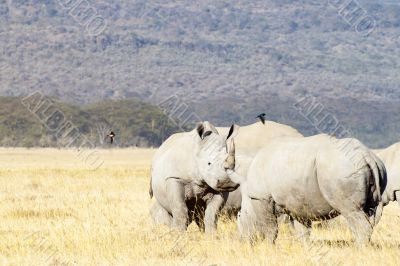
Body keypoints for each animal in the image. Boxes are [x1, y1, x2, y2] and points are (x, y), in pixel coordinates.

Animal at [150, 120, 304, 233]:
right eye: (208, 163)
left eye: (233, 165)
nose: (227, 183)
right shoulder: (174, 178)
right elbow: (179, 209)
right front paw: (179, 235)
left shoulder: (219, 189)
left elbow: (212, 214)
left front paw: (211, 238)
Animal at [228, 134, 388, 246]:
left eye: (240, 217)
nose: (241, 241)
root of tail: (367, 156)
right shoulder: (298, 204)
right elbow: (302, 231)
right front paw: (305, 249)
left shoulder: (261, 198)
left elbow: (270, 227)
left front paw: (268, 247)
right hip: (370, 167)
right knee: (370, 212)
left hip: (341, 168)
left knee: (351, 211)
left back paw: (359, 249)